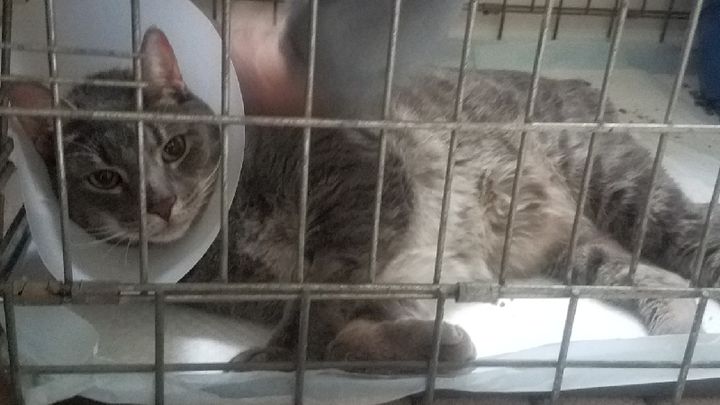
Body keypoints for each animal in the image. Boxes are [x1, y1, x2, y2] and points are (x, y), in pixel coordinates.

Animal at [7, 20, 720, 368]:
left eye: (173, 148)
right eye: (105, 178)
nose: (159, 202)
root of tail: (578, 83)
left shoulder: (363, 193)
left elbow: (318, 312)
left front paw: (277, 358)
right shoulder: (352, 289)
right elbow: (343, 335)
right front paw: (434, 347)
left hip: (624, 187)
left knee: (694, 240)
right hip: (578, 247)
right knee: (641, 273)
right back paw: (675, 326)